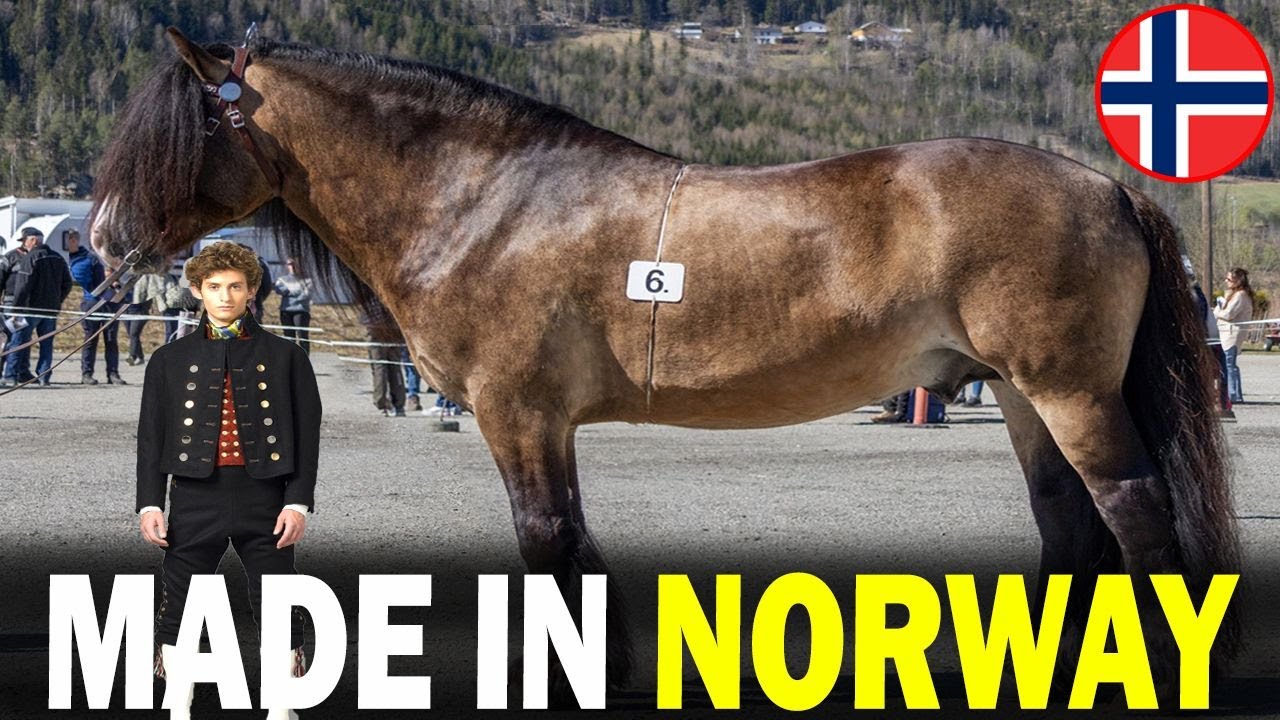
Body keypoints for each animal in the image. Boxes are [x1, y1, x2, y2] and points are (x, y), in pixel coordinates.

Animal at [92, 28, 1239, 703]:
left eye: (182, 127)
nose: (103, 242)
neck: (489, 200)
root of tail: (1103, 186)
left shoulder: (520, 416)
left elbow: (551, 546)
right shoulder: (543, 426)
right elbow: (573, 554)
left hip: (1067, 391)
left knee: (1135, 517)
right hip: (1021, 396)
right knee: (1071, 528)